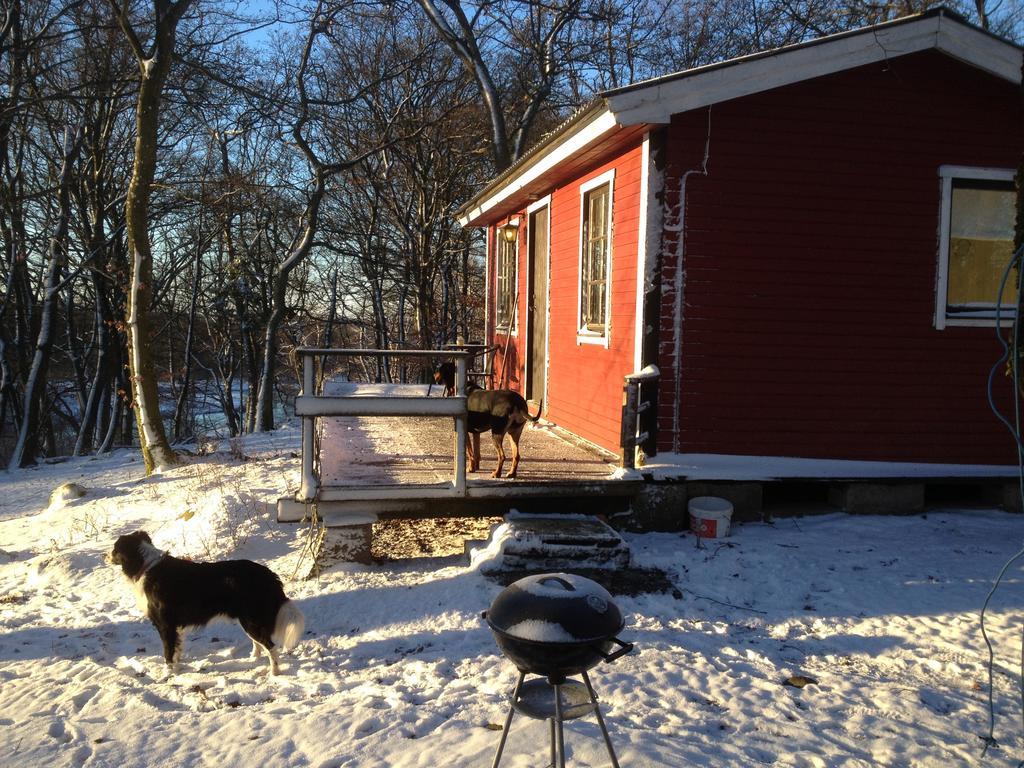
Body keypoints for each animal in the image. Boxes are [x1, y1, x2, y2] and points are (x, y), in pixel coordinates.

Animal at [112, 532, 305, 675]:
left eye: (114, 550)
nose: (105, 555)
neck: (146, 566)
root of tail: (269, 575)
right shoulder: (175, 627)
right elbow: (176, 650)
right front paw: (178, 666)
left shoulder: (165, 625)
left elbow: (168, 651)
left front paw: (168, 674)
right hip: (248, 620)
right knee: (259, 643)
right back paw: (253, 658)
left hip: (251, 620)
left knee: (270, 647)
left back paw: (274, 672)